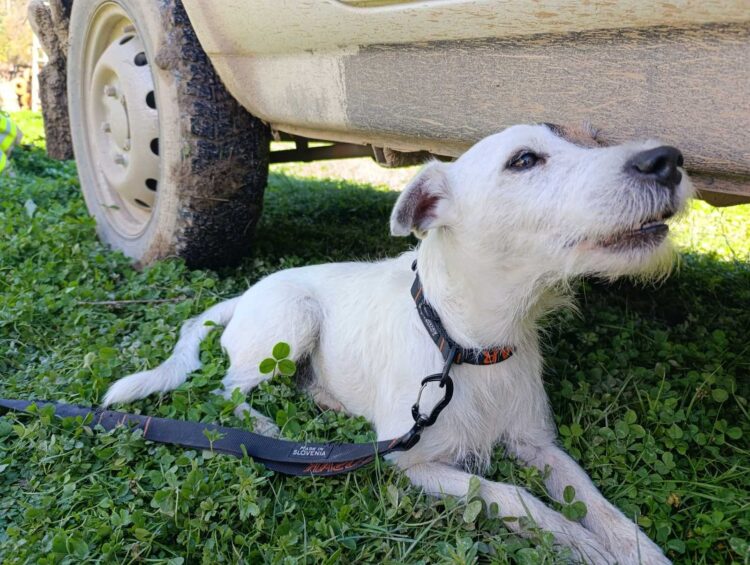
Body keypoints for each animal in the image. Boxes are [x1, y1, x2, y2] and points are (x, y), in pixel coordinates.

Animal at [104, 124, 692, 564]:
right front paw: (583, 546)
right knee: (227, 389)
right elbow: (513, 495)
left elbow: (591, 496)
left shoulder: (539, 445)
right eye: (524, 160)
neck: (466, 344)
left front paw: (638, 549)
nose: (668, 159)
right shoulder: (415, 463)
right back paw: (265, 427)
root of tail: (244, 294)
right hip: (292, 322)